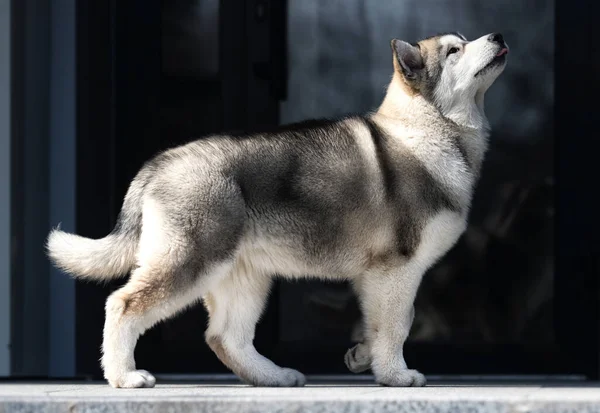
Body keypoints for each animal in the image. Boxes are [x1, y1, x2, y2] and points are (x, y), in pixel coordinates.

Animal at [47, 31, 508, 386]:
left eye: (464, 42)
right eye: (454, 50)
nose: (499, 36)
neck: (425, 127)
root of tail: (159, 163)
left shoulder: (379, 275)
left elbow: (391, 321)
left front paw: (364, 355)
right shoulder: (397, 268)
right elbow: (398, 324)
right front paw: (396, 375)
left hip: (246, 276)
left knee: (225, 337)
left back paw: (274, 376)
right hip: (191, 260)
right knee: (123, 305)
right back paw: (124, 377)